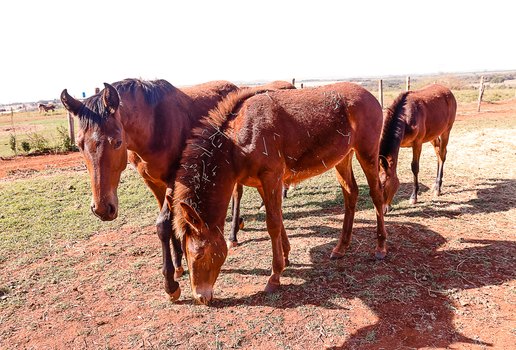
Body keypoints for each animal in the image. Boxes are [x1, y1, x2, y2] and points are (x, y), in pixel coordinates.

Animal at [60, 78, 238, 300]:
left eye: (117, 142)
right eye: (79, 144)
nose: (102, 209)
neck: (154, 126)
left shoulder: (174, 179)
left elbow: (163, 225)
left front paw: (170, 285)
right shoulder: (153, 181)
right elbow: (171, 221)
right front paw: (178, 264)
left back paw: (233, 236)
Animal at [169, 82, 388, 304]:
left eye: (200, 254)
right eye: (185, 254)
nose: (200, 296)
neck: (236, 141)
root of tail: (370, 96)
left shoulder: (271, 178)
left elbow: (273, 224)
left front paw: (275, 276)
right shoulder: (261, 184)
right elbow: (279, 219)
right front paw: (286, 256)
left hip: (367, 153)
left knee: (376, 194)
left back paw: (380, 246)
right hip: (343, 158)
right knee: (351, 193)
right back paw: (341, 247)